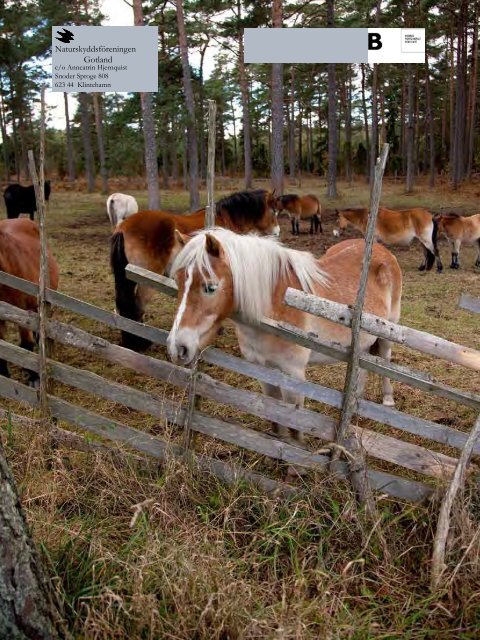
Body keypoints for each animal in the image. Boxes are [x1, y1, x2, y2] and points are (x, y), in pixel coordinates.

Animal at [167, 230, 404, 444]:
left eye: (210, 287)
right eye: (178, 281)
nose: (177, 347)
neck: (273, 311)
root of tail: (383, 251)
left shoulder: (294, 374)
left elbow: (294, 423)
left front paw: (295, 456)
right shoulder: (263, 370)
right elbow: (275, 415)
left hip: (388, 331)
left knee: (385, 360)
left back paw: (388, 399)